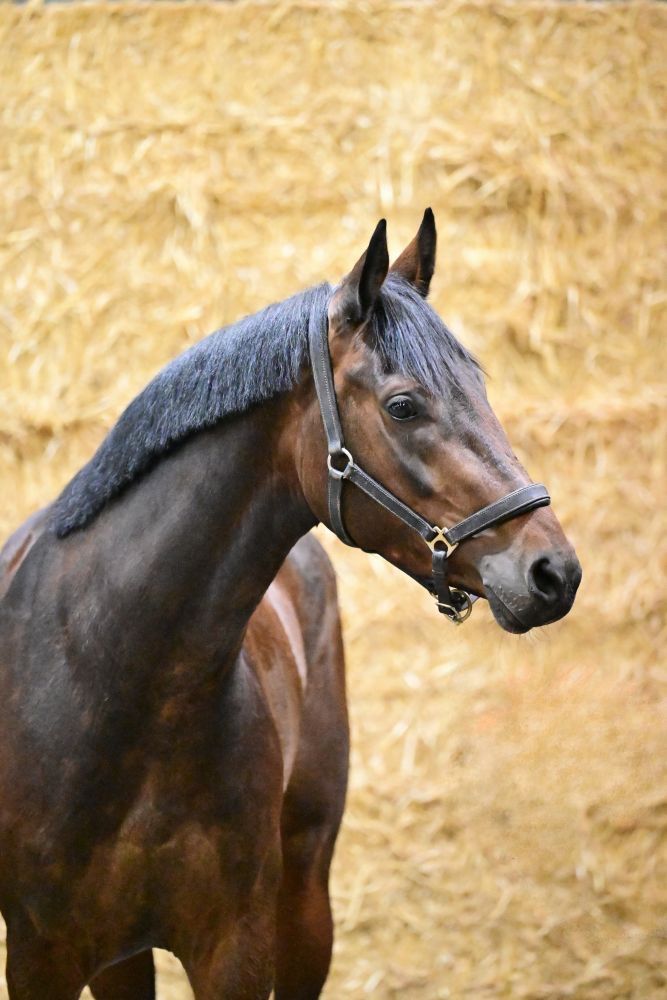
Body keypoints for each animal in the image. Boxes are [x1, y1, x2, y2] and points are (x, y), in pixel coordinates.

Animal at [0, 210, 581, 998]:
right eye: (403, 406)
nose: (553, 573)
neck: (114, 681)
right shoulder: (42, 954)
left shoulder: (236, 948)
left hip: (305, 894)